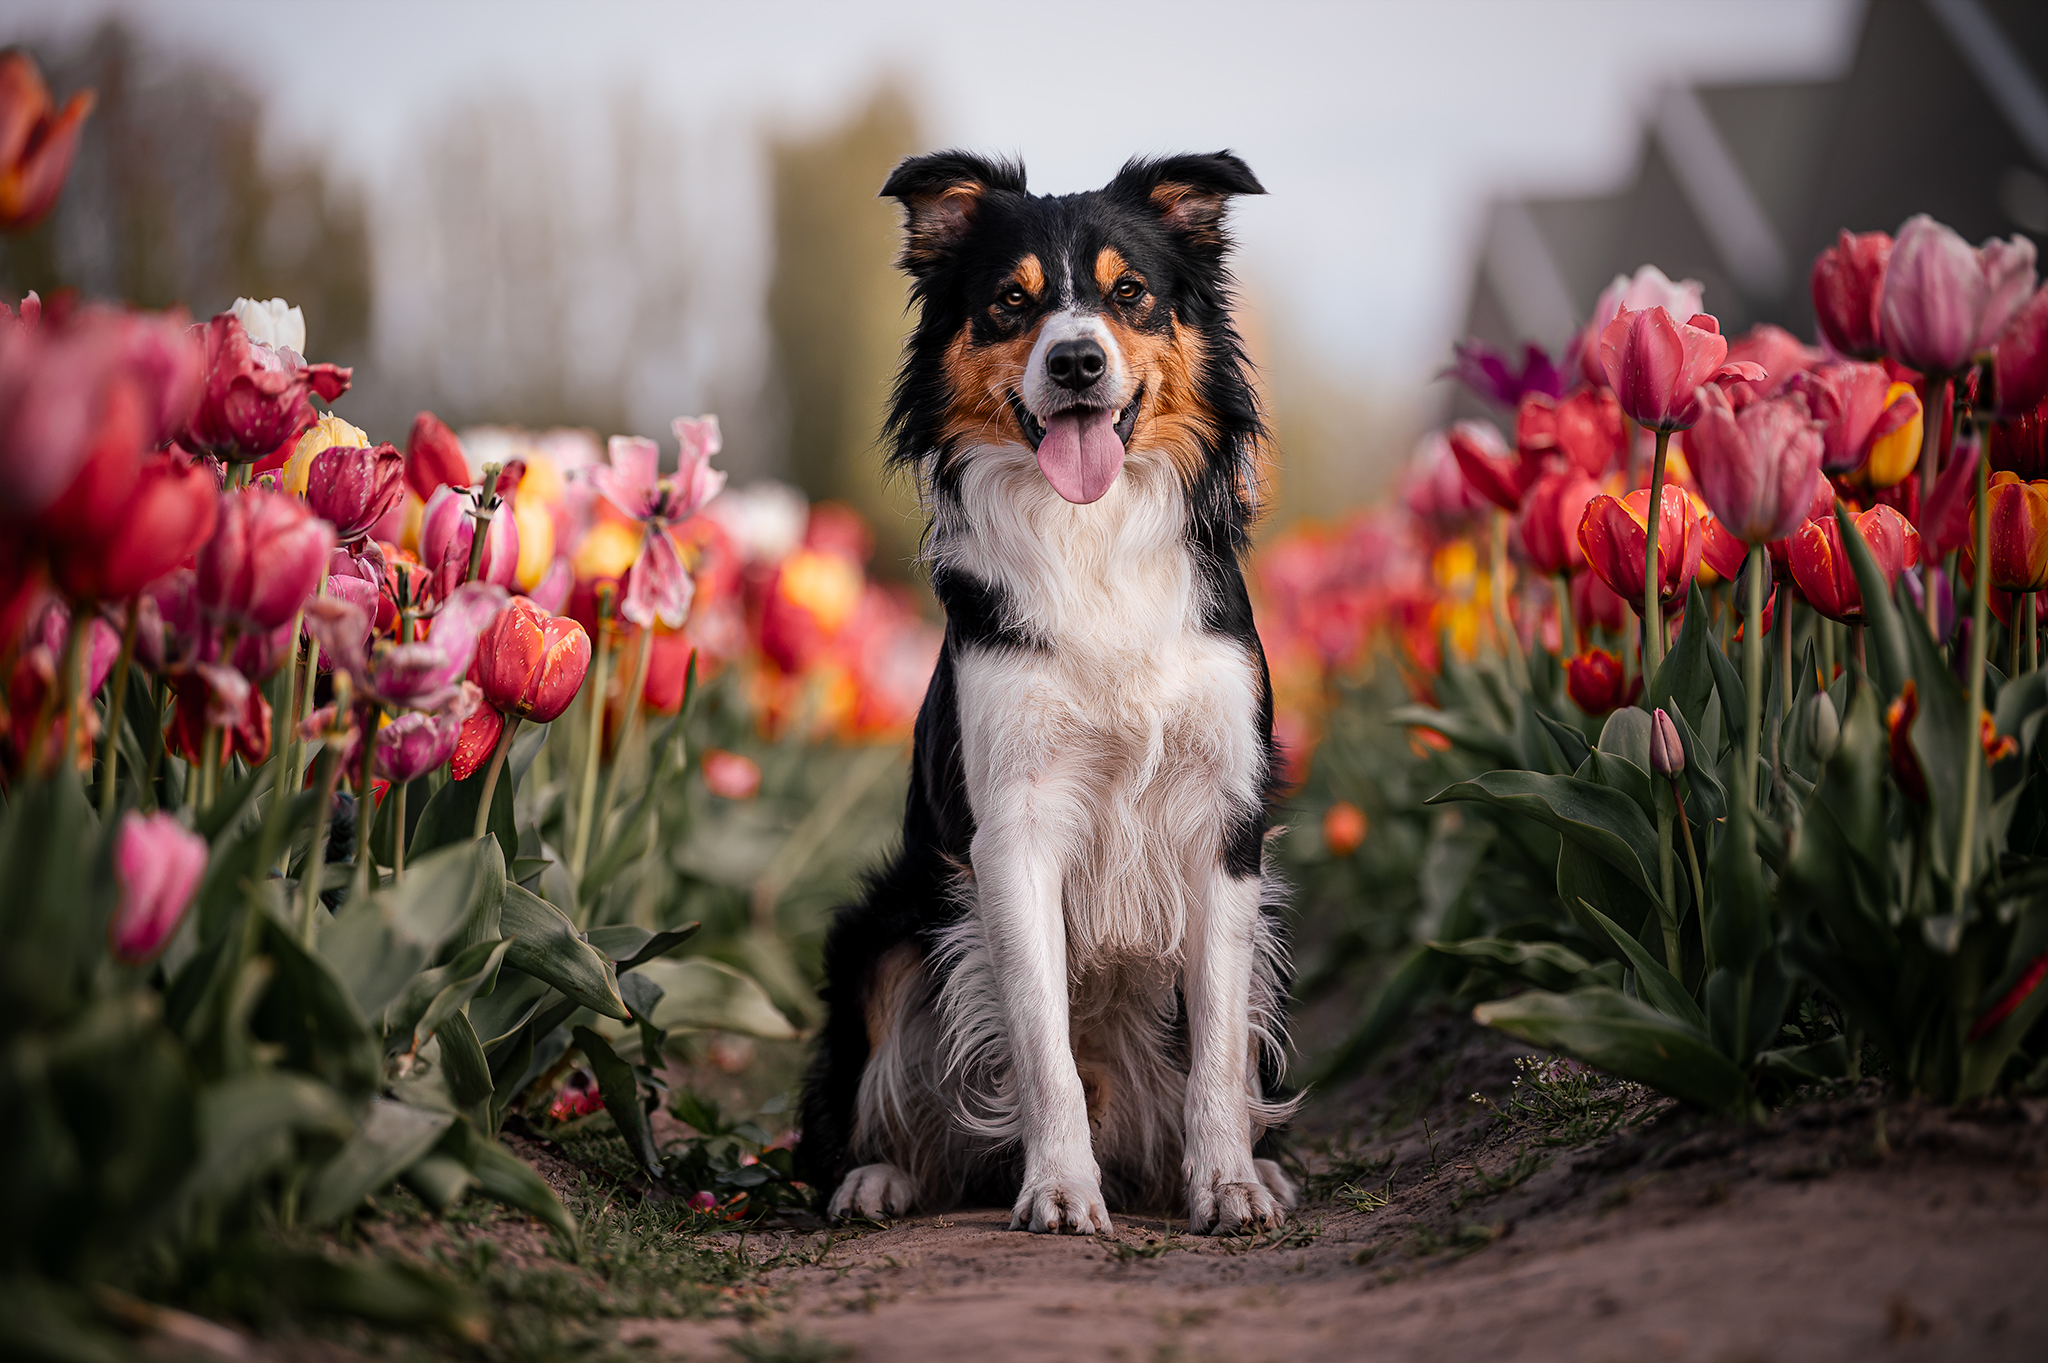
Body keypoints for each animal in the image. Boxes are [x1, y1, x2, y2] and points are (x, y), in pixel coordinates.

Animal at [794, 148, 1294, 1227]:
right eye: (1010, 303)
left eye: (1129, 293)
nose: (1075, 362)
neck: (1091, 532)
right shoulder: (1013, 829)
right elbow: (1041, 1041)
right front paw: (1060, 1187)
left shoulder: (1224, 824)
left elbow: (1217, 1049)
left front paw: (1228, 1179)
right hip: (885, 929)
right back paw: (879, 1175)